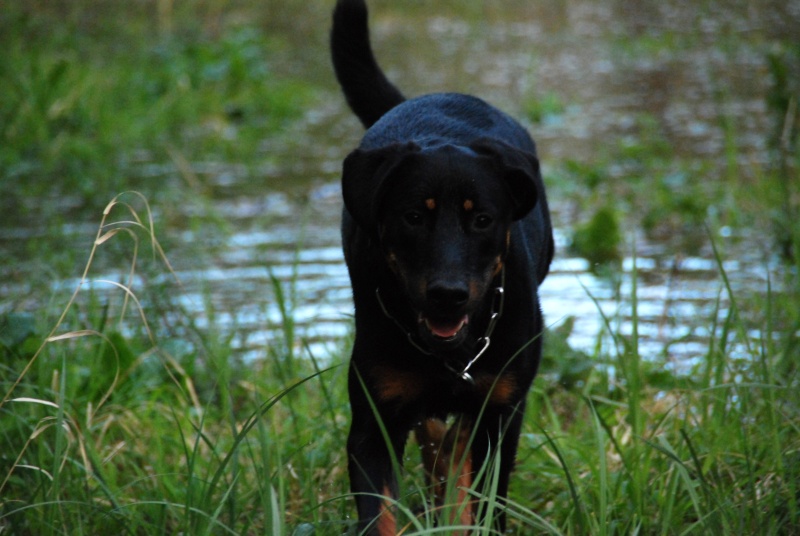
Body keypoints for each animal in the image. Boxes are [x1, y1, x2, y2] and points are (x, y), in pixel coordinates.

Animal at [330, 2, 552, 532]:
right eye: (414, 216)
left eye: (482, 219)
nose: (447, 294)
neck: (451, 355)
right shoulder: (373, 421)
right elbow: (379, 513)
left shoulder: (500, 413)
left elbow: (486, 500)